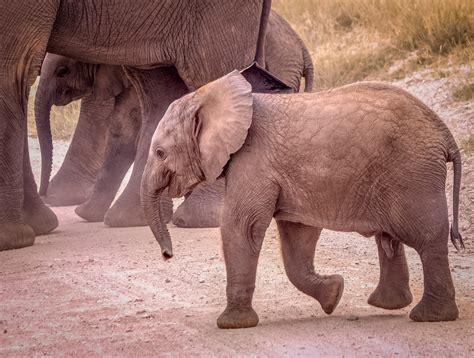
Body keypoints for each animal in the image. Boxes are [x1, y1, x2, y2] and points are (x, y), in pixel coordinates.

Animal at [0, 0, 278, 250]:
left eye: (63, 71)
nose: (44, 192)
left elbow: (11, 71)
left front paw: (15, 238)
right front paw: (37, 227)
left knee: (212, 74)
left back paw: (199, 219)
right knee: (159, 92)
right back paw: (129, 217)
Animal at [141, 71, 462, 328]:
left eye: (160, 152)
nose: (167, 255)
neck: (211, 95)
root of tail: (446, 135)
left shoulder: (254, 161)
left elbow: (242, 227)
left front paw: (231, 325)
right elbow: (296, 235)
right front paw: (334, 294)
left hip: (413, 174)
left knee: (426, 238)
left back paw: (429, 317)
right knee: (390, 239)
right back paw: (389, 305)